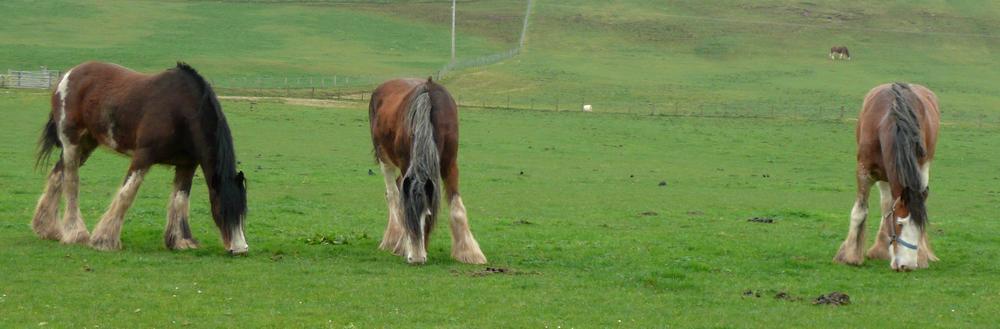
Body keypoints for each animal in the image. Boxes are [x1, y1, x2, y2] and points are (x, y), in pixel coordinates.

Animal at [33, 61, 250, 254]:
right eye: (222, 209)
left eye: (243, 211)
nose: (240, 249)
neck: (182, 111)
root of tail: (67, 75)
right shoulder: (143, 156)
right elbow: (127, 193)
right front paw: (104, 240)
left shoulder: (187, 165)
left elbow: (180, 200)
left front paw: (180, 241)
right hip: (72, 142)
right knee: (71, 181)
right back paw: (75, 233)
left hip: (87, 144)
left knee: (57, 174)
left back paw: (47, 228)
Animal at [372, 77, 488, 264]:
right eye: (409, 218)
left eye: (428, 215)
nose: (416, 258)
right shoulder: (406, 164)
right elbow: (402, 204)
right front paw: (404, 246)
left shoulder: (450, 164)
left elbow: (457, 208)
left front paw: (469, 253)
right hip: (384, 156)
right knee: (392, 194)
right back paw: (392, 239)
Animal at [832, 82, 940, 272]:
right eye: (900, 224)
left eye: (918, 226)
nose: (907, 266)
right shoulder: (864, 171)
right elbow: (860, 211)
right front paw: (850, 255)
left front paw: (921, 256)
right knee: (885, 204)